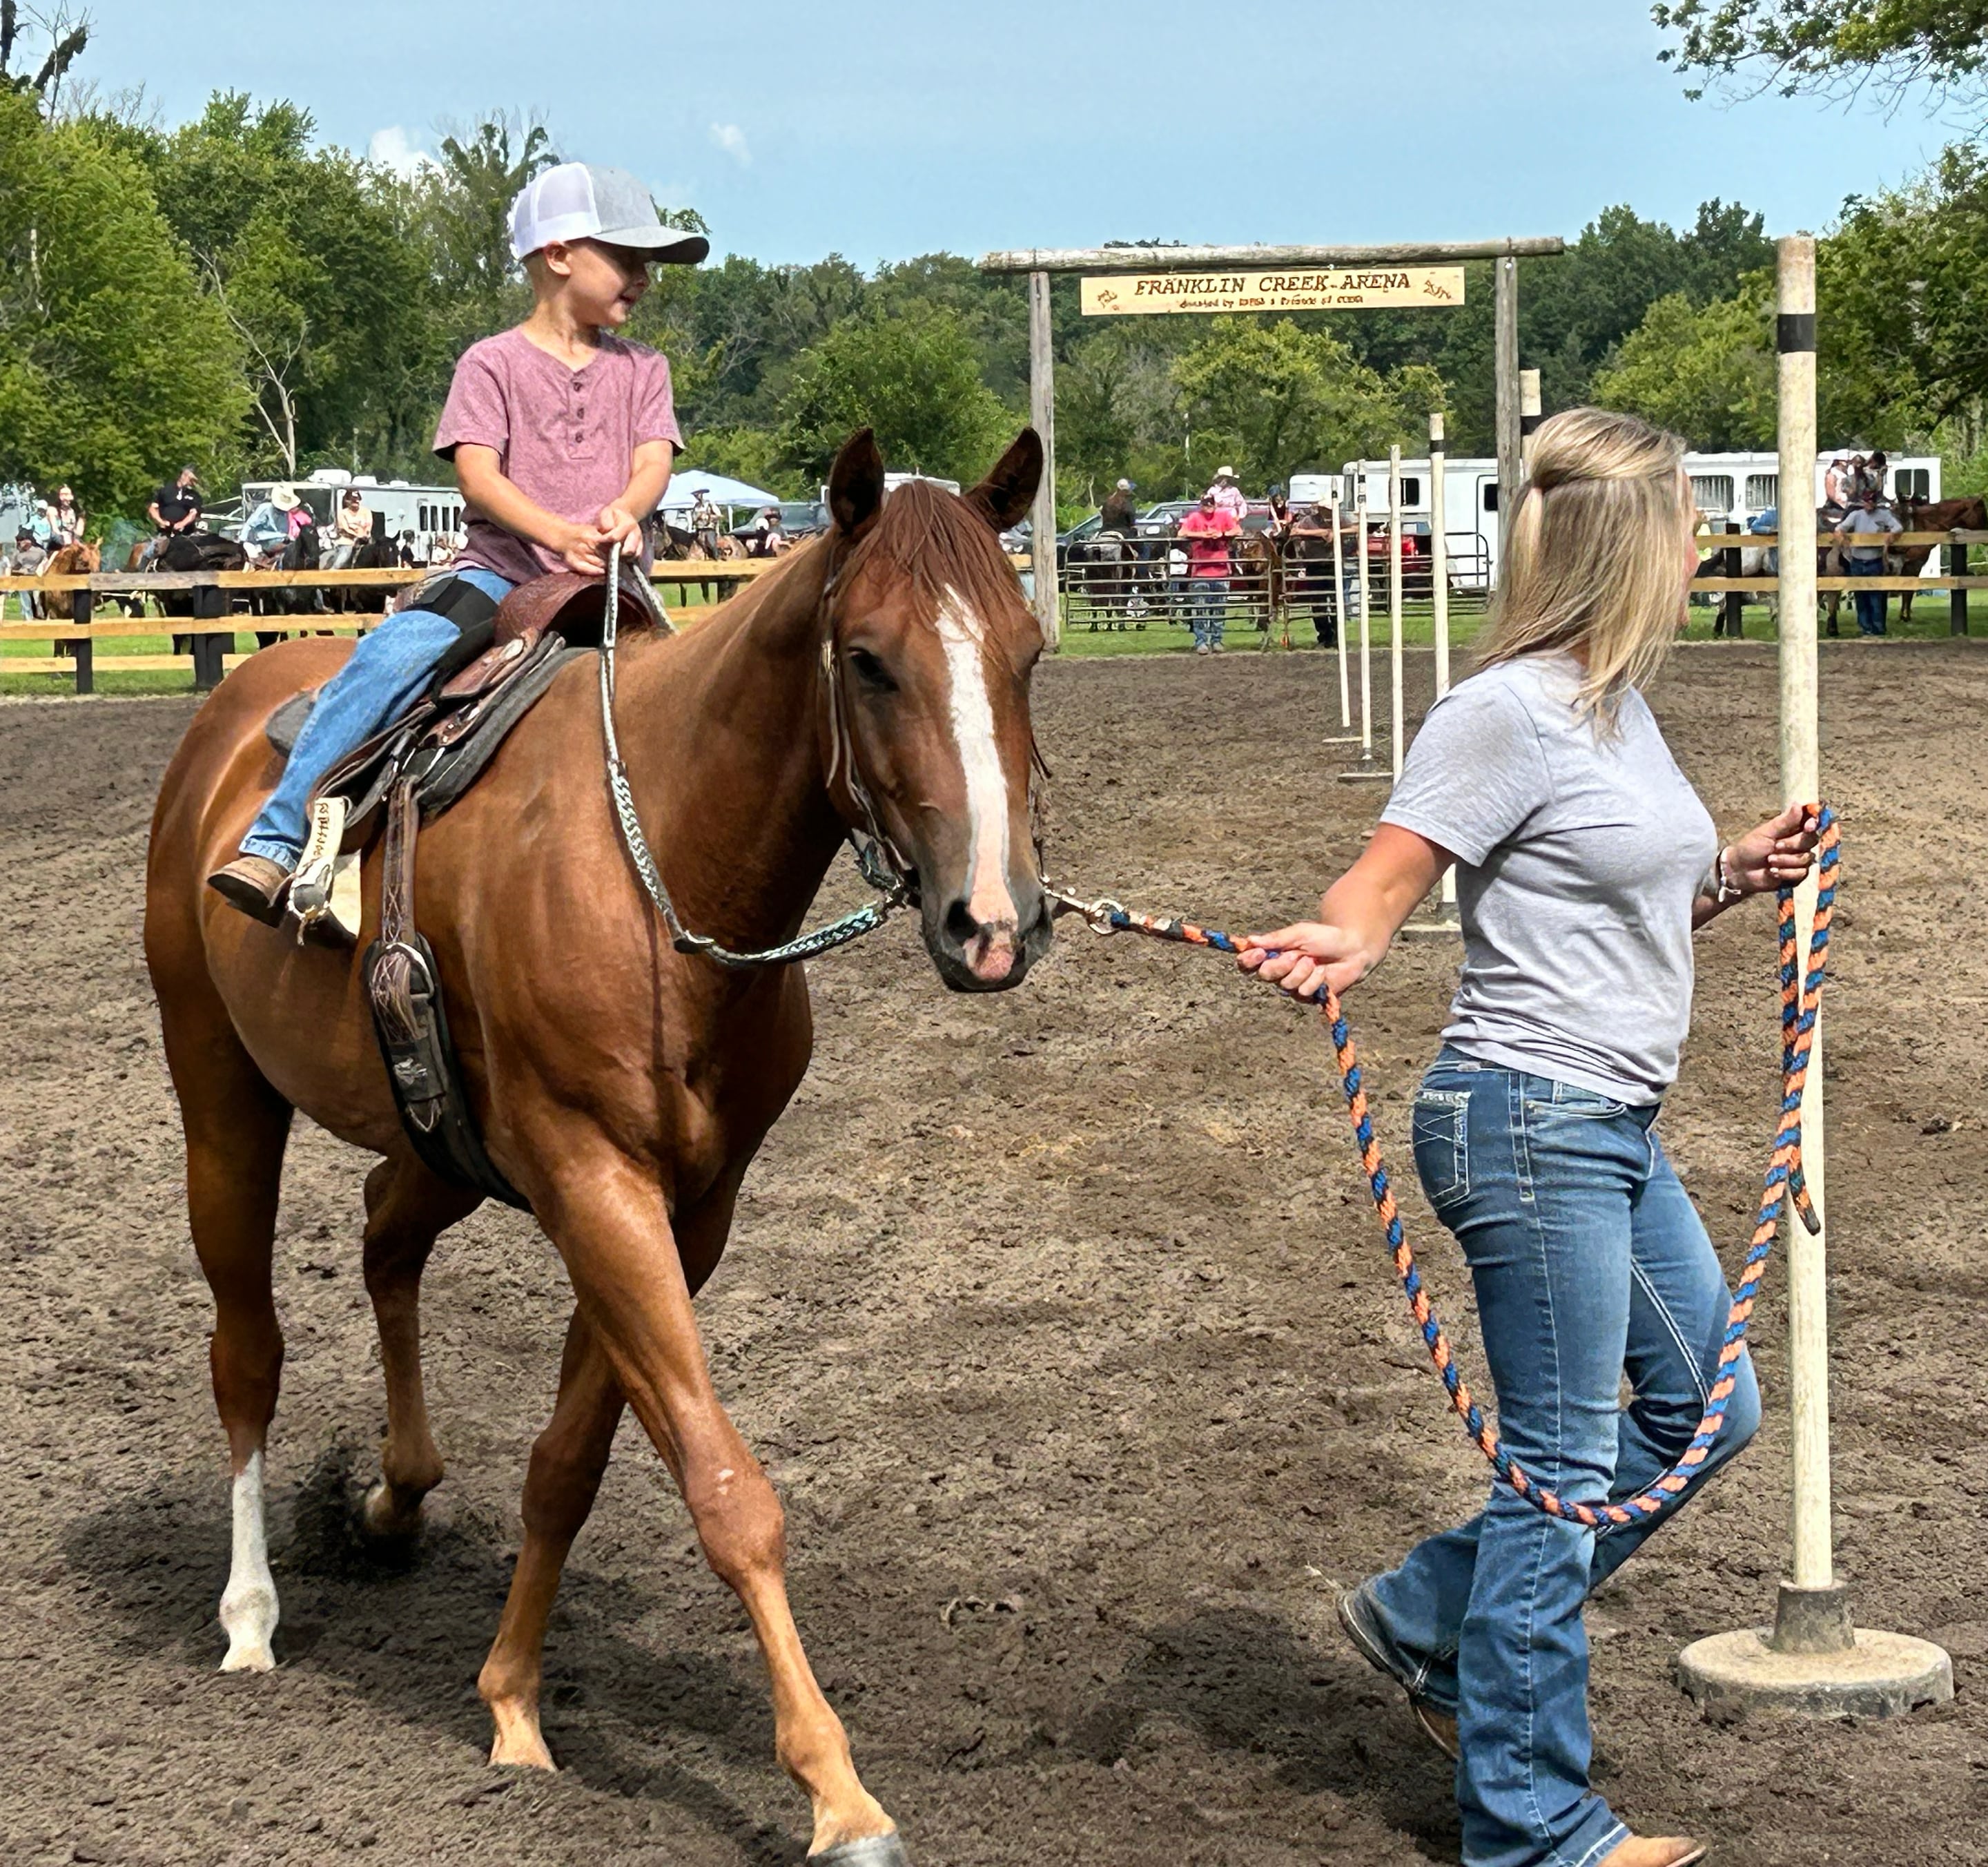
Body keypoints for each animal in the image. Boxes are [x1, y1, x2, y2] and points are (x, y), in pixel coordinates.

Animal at [142, 427, 1058, 1867]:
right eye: (868, 658)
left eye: (1026, 651)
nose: (995, 920)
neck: (662, 863)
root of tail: (232, 720)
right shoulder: (594, 1184)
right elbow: (729, 1489)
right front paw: (838, 1792)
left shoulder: (683, 1209)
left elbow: (568, 1465)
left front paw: (513, 1700)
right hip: (219, 1088)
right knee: (248, 1347)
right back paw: (249, 1613)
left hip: (439, 1142)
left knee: (384, 1234)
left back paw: (394, 1498)